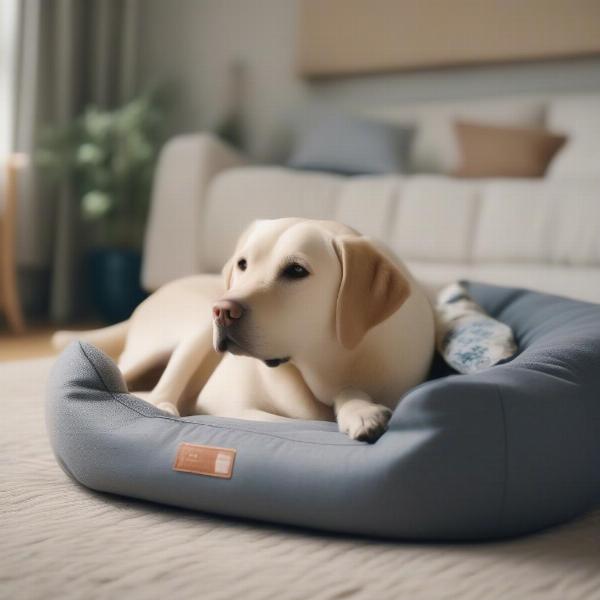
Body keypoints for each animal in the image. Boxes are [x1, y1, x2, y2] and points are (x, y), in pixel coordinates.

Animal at [54, 218, 434, 442]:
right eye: (242, 264)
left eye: (297, 270)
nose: (223, 310)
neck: (333, 361)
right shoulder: (224, 404)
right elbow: (291, 421)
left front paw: (360, 410)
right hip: (184, 338)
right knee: (153, 388)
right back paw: (163, 406)